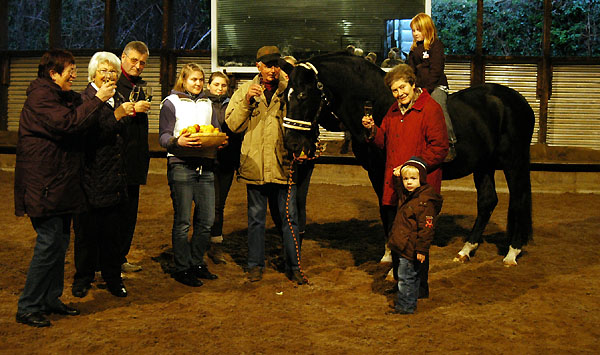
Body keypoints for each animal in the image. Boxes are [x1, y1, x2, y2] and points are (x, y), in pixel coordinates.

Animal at [282, 51, 536, 266]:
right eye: (285, 95)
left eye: (303, 95)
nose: (292, 143)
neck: (380, 105)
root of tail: (517, 100)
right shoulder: (375, 173)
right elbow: (385, 209)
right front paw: (387, 253)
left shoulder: (388, 170)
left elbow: (392, 209)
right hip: (483, 166)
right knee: (487, 201)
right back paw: (466, 249)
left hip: (514, 162)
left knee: (519, 198)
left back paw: (512, 252)